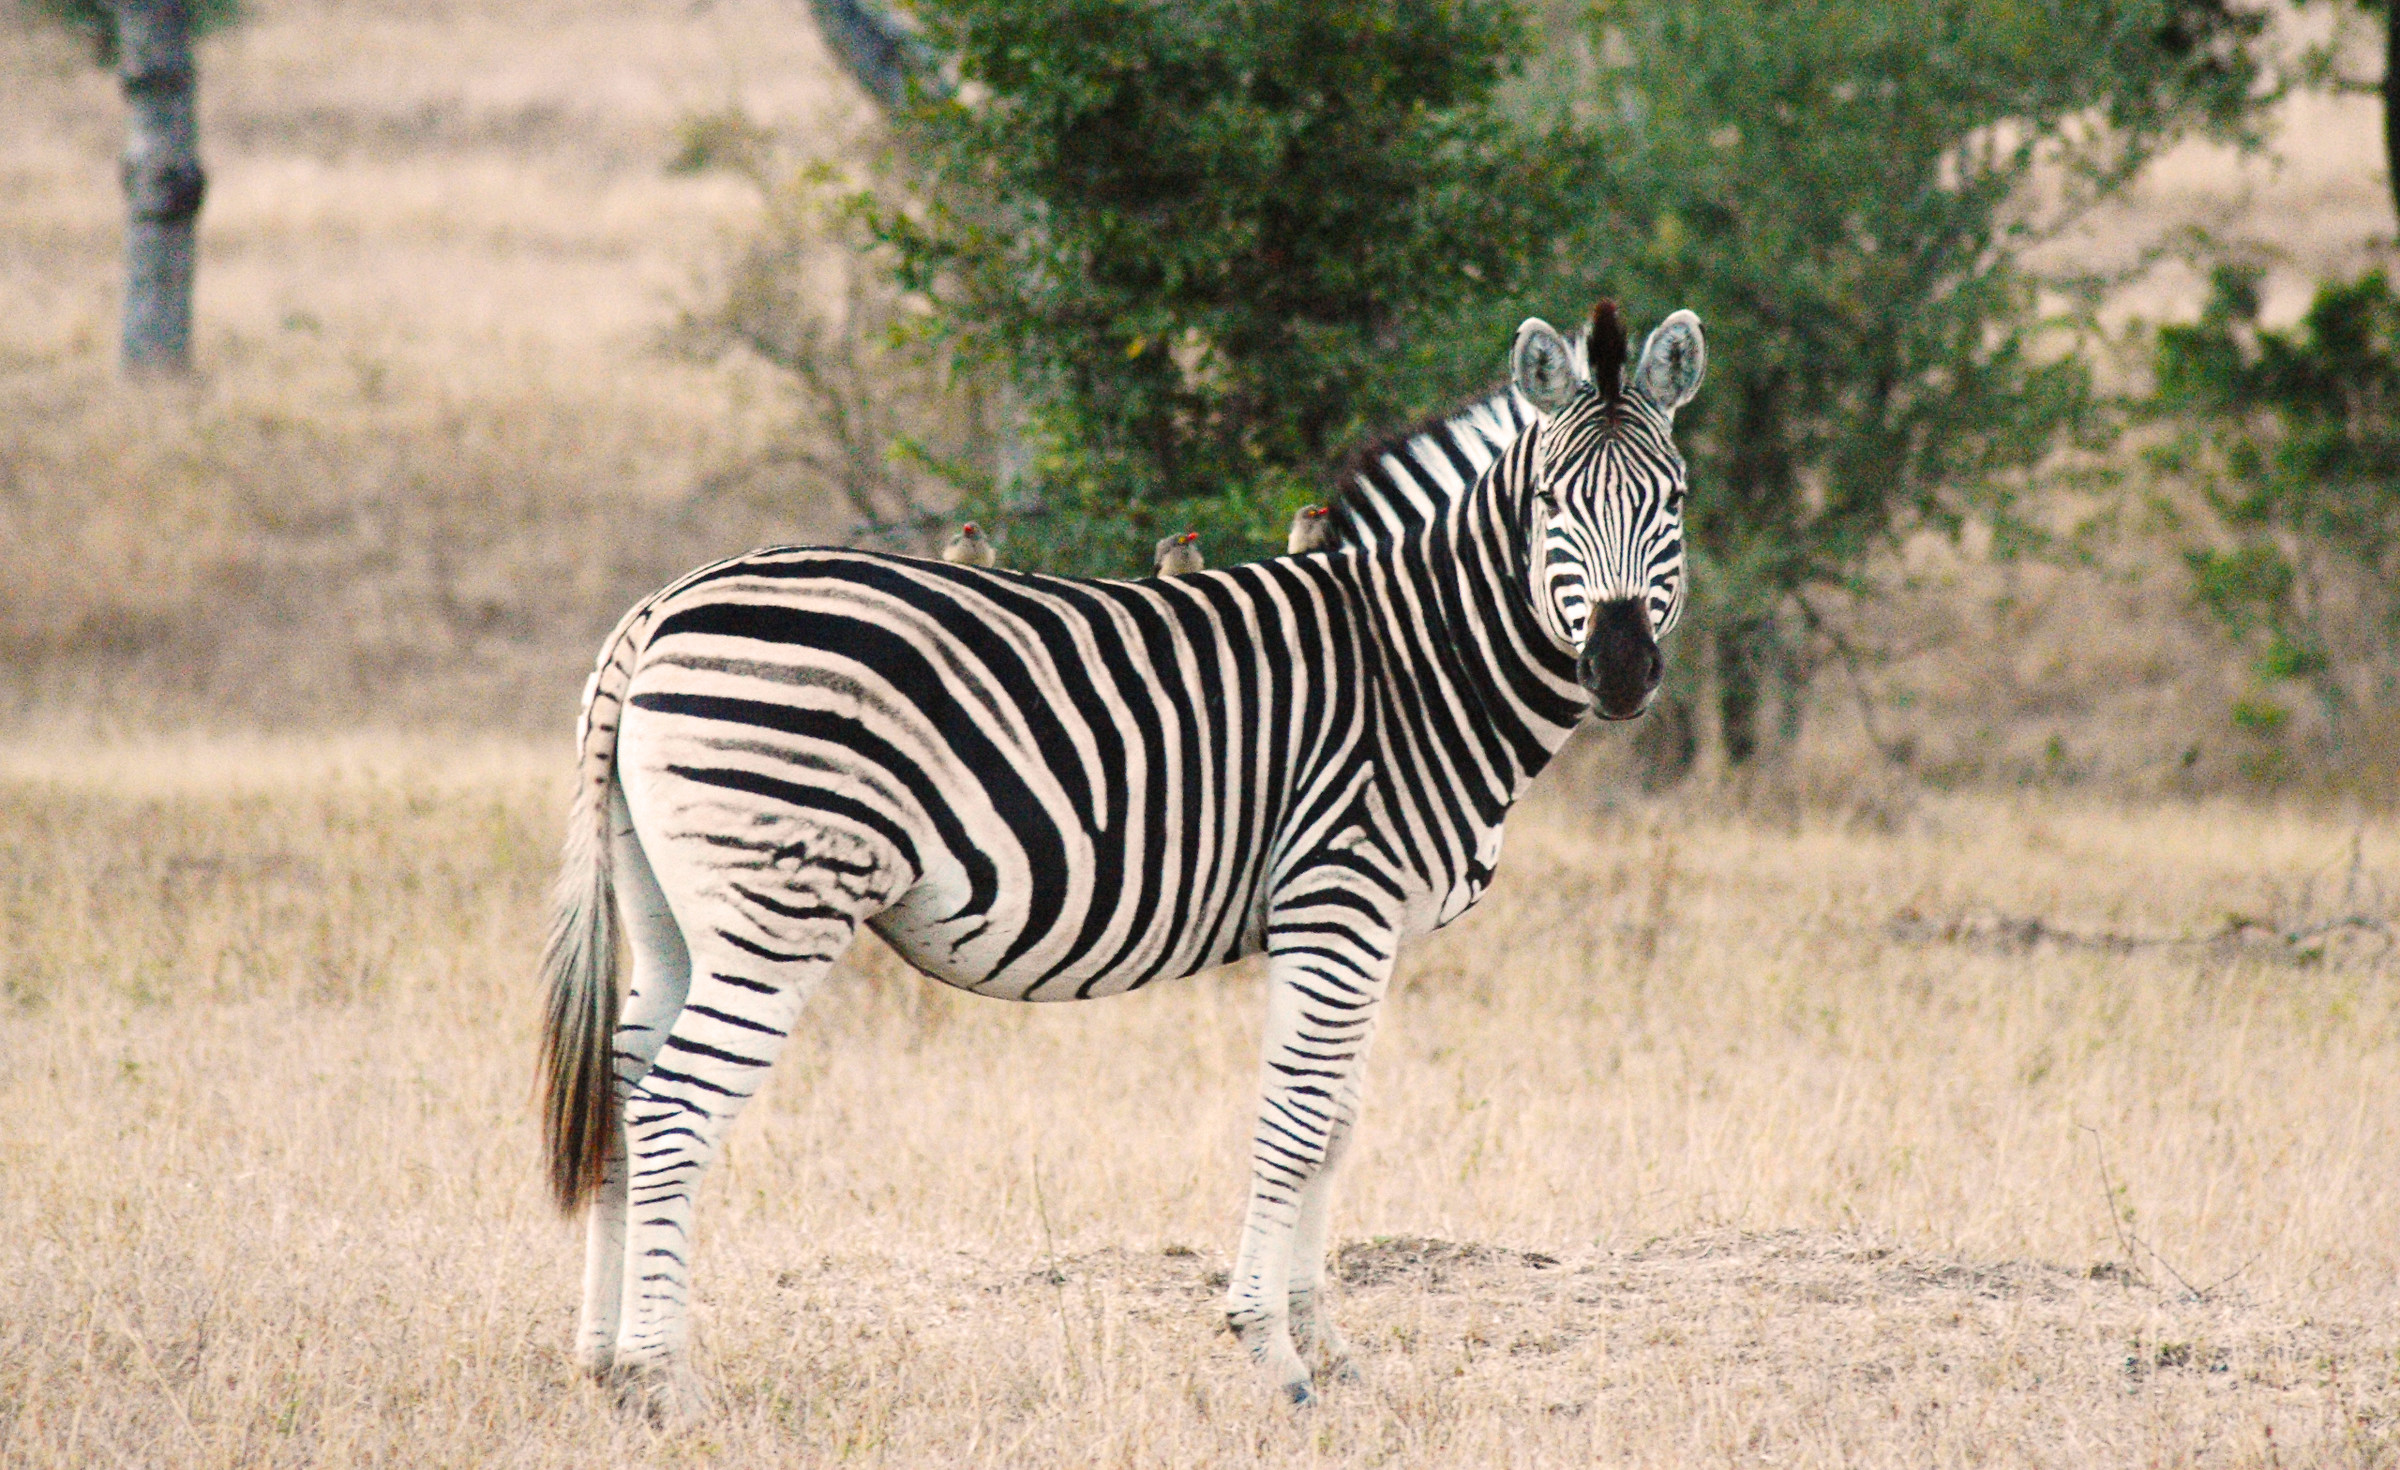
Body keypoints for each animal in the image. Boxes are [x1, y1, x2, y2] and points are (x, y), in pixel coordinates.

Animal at [538, 300, 1706, 1415]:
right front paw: (1274, 1356)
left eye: (1676, 502)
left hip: (671, 916)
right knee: (674, 1110)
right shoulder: (1338, 901)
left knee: (620, 1095)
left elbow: (1336, 1126)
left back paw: (602, 1368)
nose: (1620, 669)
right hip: (780, 907)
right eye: (1550, 503)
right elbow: (1294, 1125)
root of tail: (659, 607)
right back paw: (667, 1385)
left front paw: (1330, 1351)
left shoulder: (1370, 929)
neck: (1419, 661)